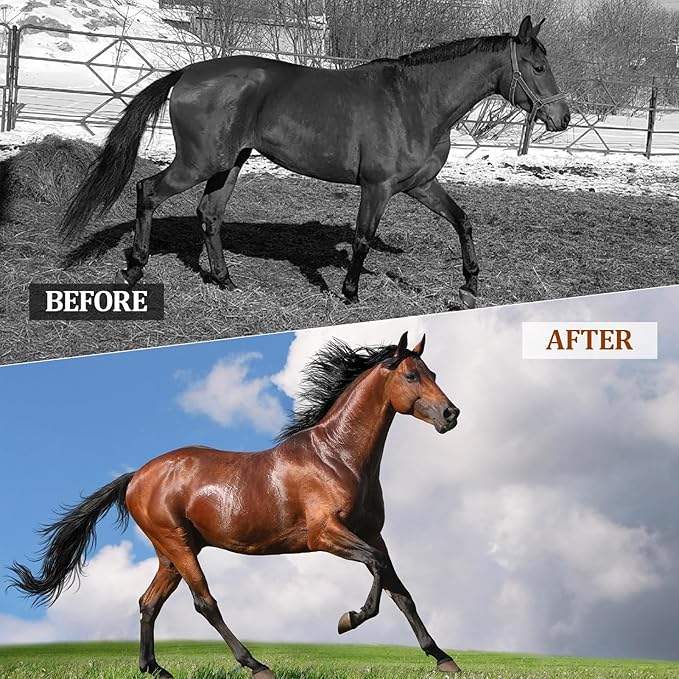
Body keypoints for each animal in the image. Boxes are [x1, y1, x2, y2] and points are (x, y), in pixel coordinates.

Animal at [9, 332, 462, 678]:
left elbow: (400, 590)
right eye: (411, 375)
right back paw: (255, 665)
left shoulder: (372, 533)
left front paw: (443, 659)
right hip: (178, 546)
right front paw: (347, 620)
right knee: (204, 602)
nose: (451, 414)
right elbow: (377, 569)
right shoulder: (326, 535)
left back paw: (155, 669)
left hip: (171, 553)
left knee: (149, 603)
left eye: (433, 373)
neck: (337, 457)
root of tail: (136, 476)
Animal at [59, 16, 569, 308]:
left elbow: (463, 220)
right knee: (147, 191)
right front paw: (350, 293)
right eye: (538, 67)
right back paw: (134, 269)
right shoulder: (377, 187)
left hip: (230, 163)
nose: (562, 118)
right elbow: (363, 239)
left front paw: (469, 286)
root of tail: (186, 73)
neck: (414, 102)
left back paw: (225, 281)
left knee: (209, 215)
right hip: (199, 163)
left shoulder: (419, 186)